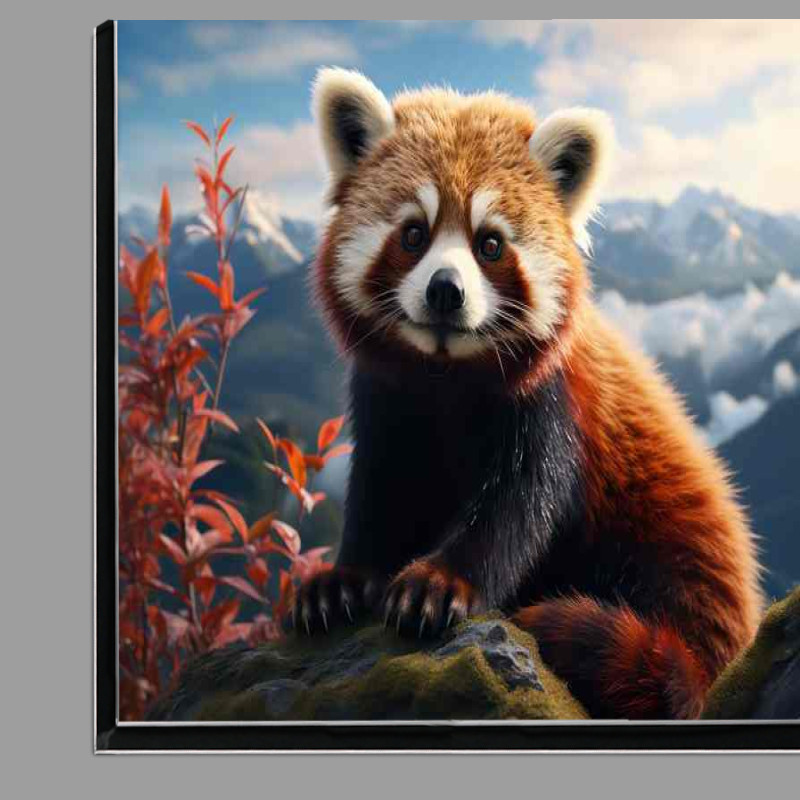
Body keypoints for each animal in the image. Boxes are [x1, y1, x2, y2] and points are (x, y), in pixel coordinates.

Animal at [293, 67, 764, 719]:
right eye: (413, 234)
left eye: (490, 244)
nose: (445, 291)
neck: (446, 378)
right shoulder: (386, 396)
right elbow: (380, 489)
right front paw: (342, 581)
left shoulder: (552, 400)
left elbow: (523, 504)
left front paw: (438, 584)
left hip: (667, 554)